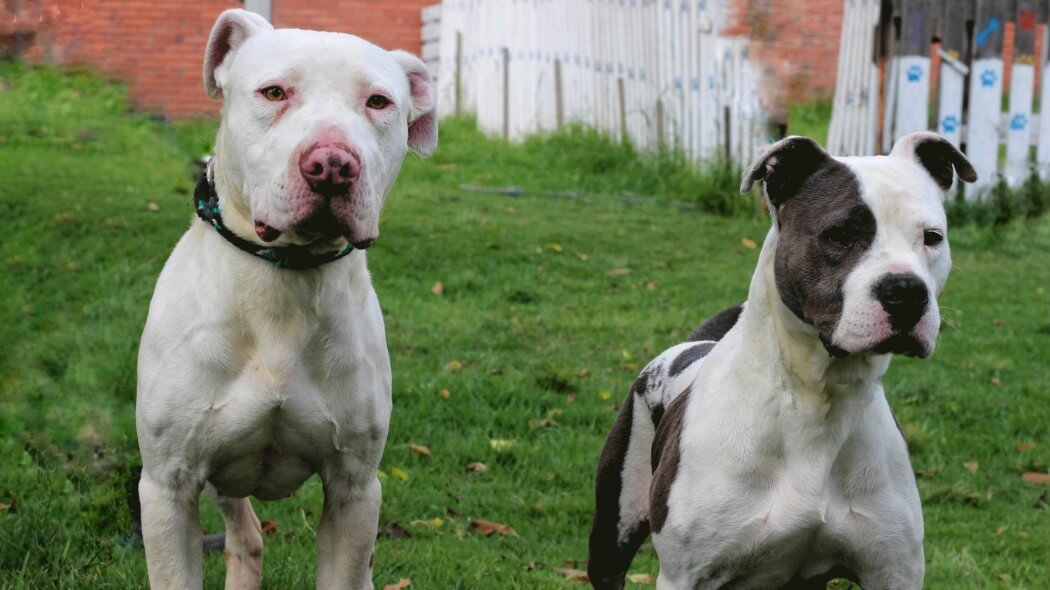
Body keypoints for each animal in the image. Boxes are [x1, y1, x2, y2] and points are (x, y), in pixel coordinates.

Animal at [136, 10, 438, 587]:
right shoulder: (168, 487)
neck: (282, 284)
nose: (332, 165)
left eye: (378, 102)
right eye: (273, 92)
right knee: (246, 534)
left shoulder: (354, 489)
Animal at [592, 130, 974, 583]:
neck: (817, 399)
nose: (907, 291)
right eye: (839, 234)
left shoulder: (893, 571)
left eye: (932, 237)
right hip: (613, 533)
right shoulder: (685, 575)